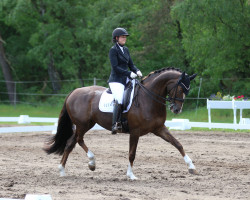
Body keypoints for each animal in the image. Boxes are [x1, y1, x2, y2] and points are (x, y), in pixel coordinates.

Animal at [44, 67, 198, 180]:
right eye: (180, 88)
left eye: (188, 89)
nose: (176, 109)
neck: (148, 98)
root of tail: (73, 92)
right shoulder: (135, 131)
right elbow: (132, 154)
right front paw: (131, 175)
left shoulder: (159, 128)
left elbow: (177, 144)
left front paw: (191, 167)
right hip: (82, 124)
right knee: (78, 140)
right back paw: (90, 162)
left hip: (88, 124)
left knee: (71, 142)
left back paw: (64, 170)